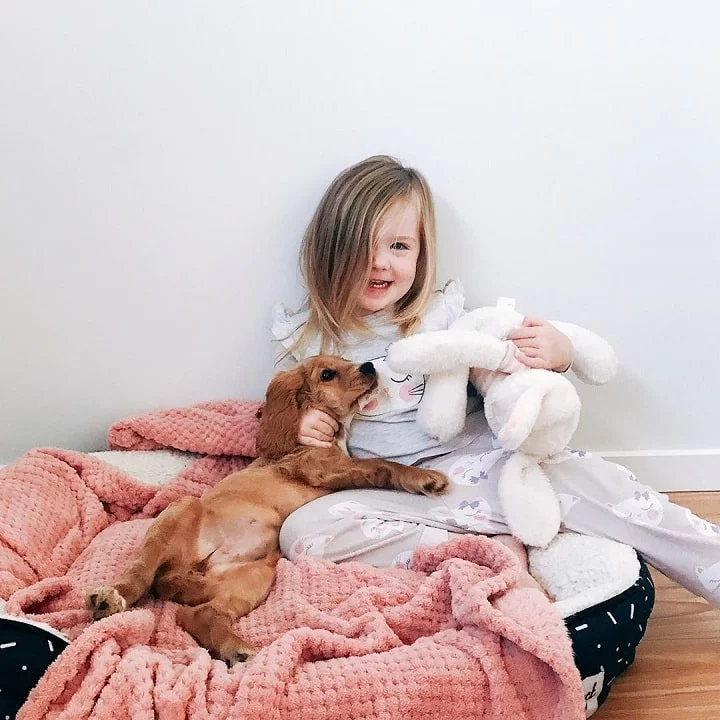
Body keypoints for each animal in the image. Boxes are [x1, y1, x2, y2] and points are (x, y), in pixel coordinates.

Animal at [87, 354, 448, 664]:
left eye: (345, 359)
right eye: (327, 374)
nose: (370, 366)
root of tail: (190, 569)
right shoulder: (322, 467)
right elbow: (380, 465)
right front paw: (424, 477)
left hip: (255, 576)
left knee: (197, 613)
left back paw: (235, 649)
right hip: (181, 509)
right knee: (142, 571)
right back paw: (113, 596)